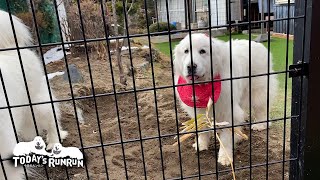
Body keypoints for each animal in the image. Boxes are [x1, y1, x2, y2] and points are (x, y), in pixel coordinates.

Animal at [174, 33, 276, 166]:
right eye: (186, 51)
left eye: (202, 51)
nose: (191, 66)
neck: (204, 85)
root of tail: (256, 44)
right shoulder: (199, 112)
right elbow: (202, 131)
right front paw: (201, 145)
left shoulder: (228, 112)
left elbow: (226, 139)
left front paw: (225, 157)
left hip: (258, 90)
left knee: (261, 109)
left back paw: (260, 125)